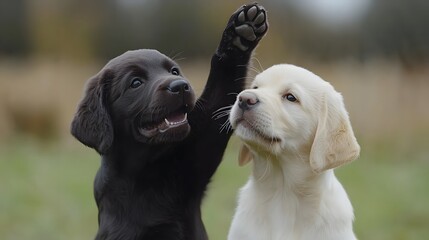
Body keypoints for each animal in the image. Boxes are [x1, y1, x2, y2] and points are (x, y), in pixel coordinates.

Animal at [70, 3, 266, 240]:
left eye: (174, 71)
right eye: (136, 82)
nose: (180, 86)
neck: (145, 170)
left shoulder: (198, 154)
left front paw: (240, 35)